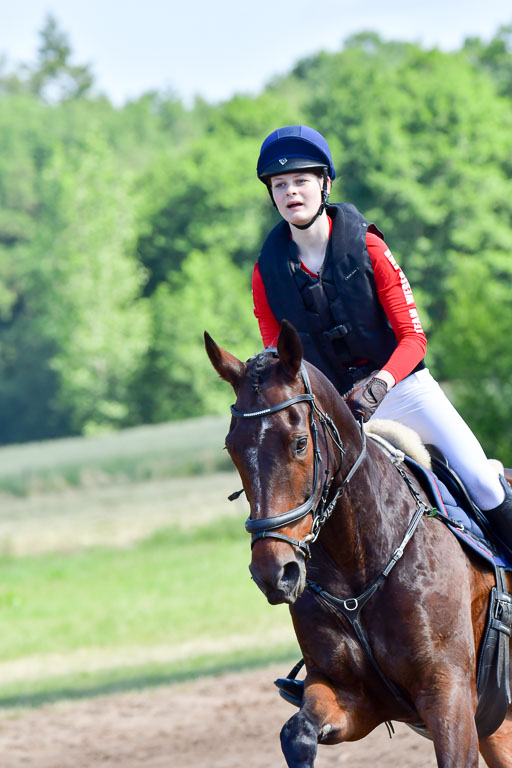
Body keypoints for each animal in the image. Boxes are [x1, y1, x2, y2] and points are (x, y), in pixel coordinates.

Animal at [204, 319, 512, 768]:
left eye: (300, 442)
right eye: (232, 448)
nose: (273, 573)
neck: (358, 559)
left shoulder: (449, 694)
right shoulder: (350, 697)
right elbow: (296, 734)